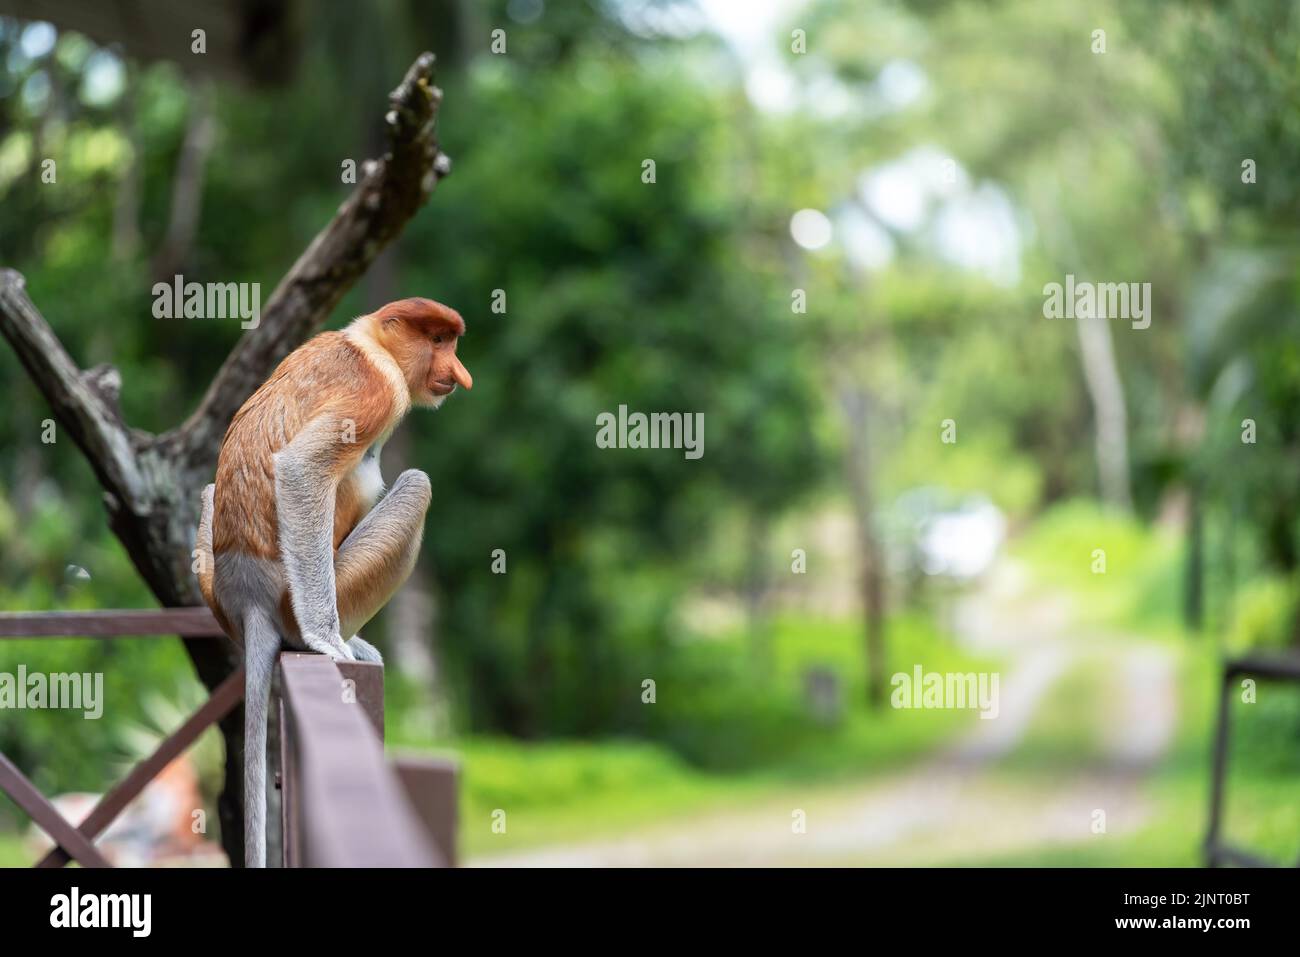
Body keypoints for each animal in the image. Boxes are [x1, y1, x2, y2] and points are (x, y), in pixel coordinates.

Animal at [194, 297, 472, 867]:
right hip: (308, 591)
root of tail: (247, 599)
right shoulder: (378, 391)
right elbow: (302, 470)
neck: (371, 343)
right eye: (437, 340)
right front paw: (326, 639)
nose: (458, 373)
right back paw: (334, 636)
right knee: (411, 484)